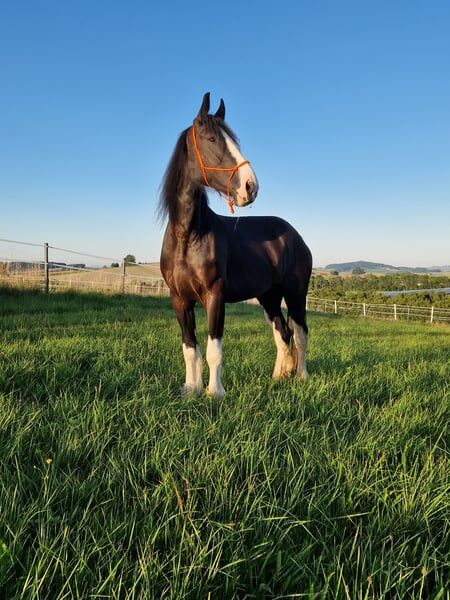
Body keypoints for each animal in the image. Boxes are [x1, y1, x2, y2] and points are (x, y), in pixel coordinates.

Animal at [159, 92, 312, 398]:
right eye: (211, 139)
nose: (251, 186)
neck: (188, 236)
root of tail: (295, 236)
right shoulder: (179, 299)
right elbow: (190, 349)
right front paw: (191, 390)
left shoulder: (215, 296)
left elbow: (213, 349)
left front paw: (214, 393)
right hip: (268, 297)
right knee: (282, 332)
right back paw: (279, 377)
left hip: (295, 293)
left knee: (300, 333)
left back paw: (301, 376)